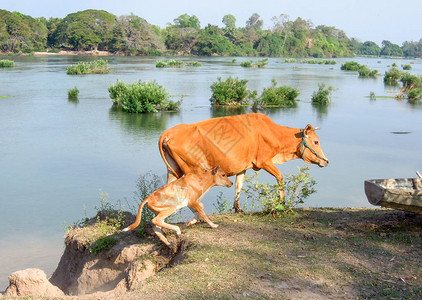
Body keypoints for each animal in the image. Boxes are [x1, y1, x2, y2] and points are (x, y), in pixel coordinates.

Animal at [160, 113, 328, 213]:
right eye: (316, 141)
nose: (326, 161)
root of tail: (168, 133)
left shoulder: (243, 166)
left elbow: (238, 185)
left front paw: (238, 208)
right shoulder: (263, 161)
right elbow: (280, 176)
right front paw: (282, 202)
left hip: (173, 170)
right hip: (193, 169)